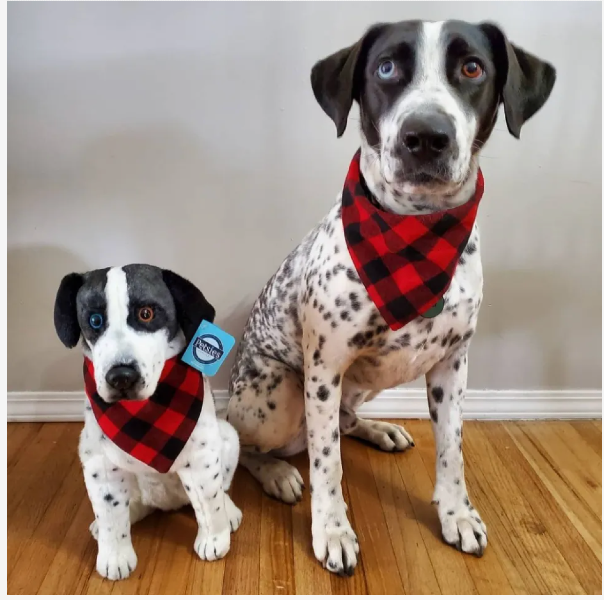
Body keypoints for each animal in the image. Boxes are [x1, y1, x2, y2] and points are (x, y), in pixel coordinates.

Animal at [54, 264, 242, 580]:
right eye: (95, 320)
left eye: (146, 313)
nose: (121, 377)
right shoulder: (100, 464)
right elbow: (111, 517)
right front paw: (115, 556)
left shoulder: (200, 458)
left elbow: (209, 504)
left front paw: (214, 540)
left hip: (228, 436)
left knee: (221, 489)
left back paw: (229, 511)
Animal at [228, 19, 556, 576]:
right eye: (385, 67)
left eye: (473, 67)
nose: (425, 137)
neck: (417, 233)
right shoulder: (323, 371)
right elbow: (327, 465)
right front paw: (332, 530)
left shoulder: (452, 366)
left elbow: (452, 451)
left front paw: (457, 514)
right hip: (281, 393)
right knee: (253, 445)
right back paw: (277, 473)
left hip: (358, 387)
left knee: (345, 421)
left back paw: (379, 429)